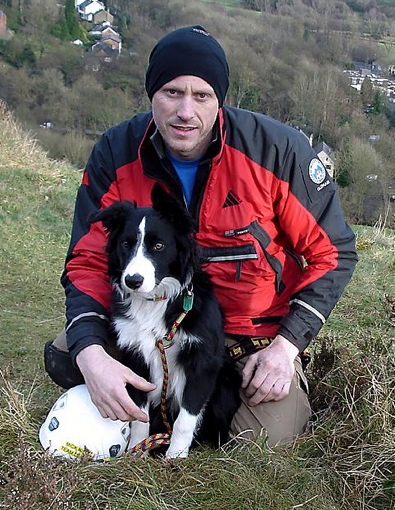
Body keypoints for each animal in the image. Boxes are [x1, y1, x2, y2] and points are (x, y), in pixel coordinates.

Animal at [92, 183, 241, 458]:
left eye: (159, 246)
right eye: (126, 244)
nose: (132, 281)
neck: (155, 302)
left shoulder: (202, 362)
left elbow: (186, 418)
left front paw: (175, 456)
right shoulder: (134, 357)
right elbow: (138, 414)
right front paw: (137, 451)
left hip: (226, 382)